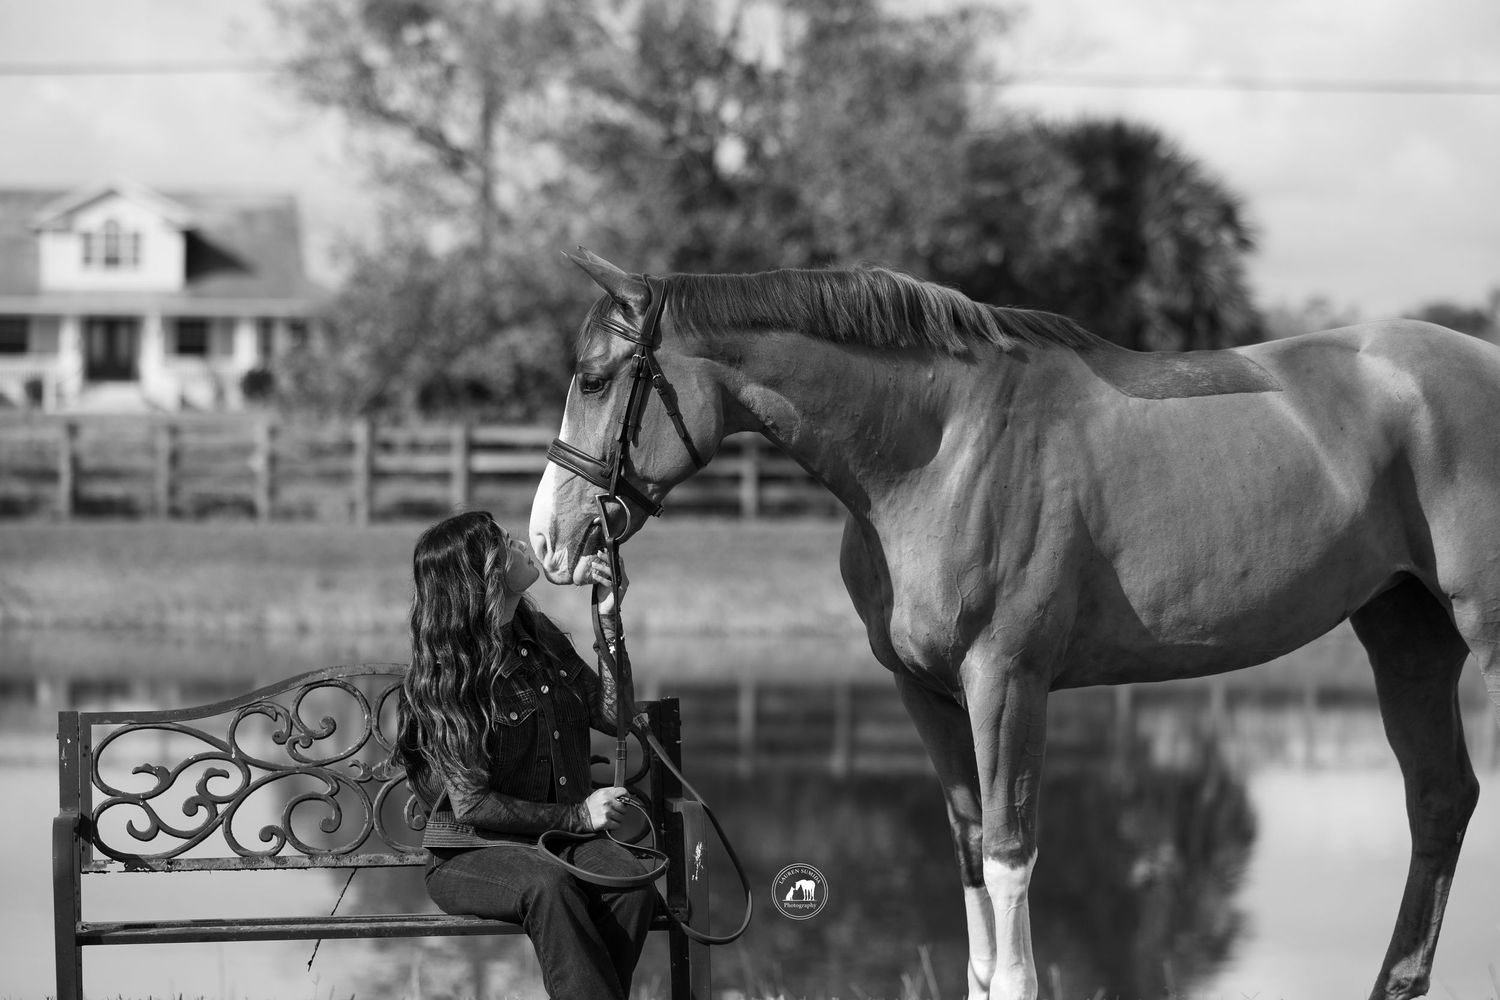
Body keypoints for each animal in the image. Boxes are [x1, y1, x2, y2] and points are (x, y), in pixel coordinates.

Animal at [528, 248, 1500, 1000]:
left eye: (596, 379)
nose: (547, 538)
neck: (938, 449)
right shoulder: (923, 693)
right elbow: (968, 853)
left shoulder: (1008, 681)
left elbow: (1007, 856)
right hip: (1406, 636)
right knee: (1439, 798)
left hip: (1482, 630)